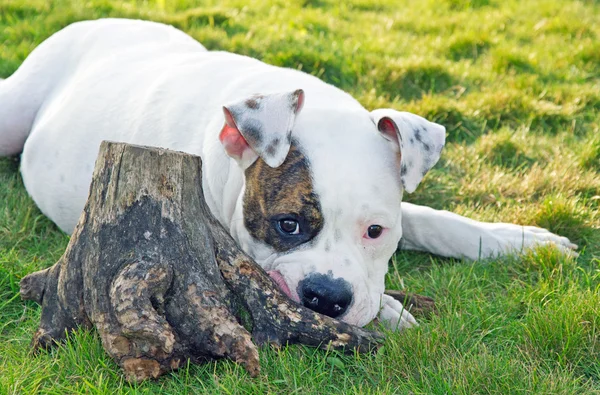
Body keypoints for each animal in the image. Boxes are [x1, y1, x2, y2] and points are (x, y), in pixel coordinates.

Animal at [0, 19, 576, 332]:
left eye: (376, 232)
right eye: (287, 225)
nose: (326, 297)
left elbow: (438, 221)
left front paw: (523, 240)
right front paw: (392, 310)